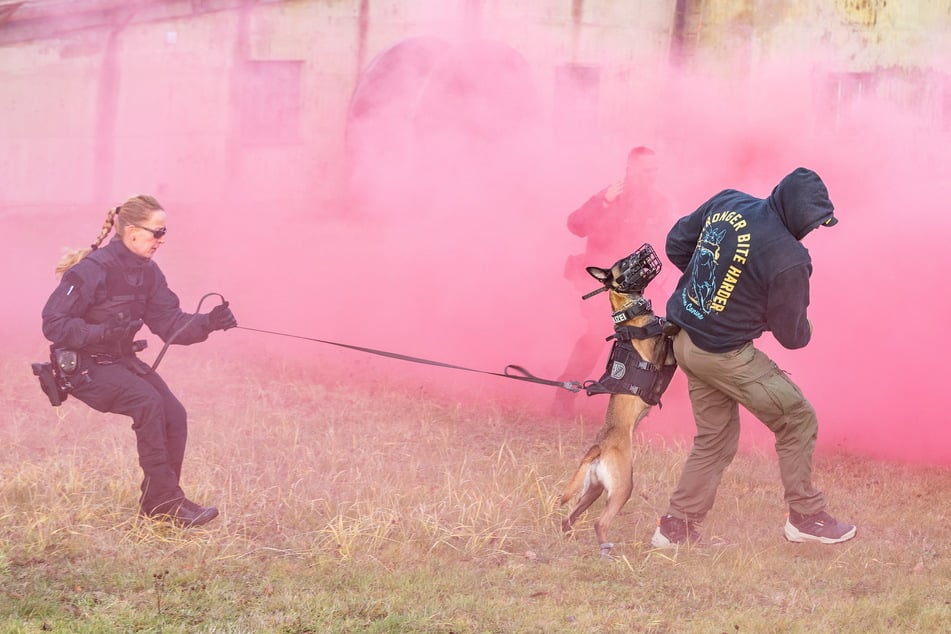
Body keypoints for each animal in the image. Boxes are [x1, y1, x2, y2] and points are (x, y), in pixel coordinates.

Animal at [556, 244, 676, 556]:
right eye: (624, 262)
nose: (645, 253)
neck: (629, 313)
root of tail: (599, 447)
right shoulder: (664, 354)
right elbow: (669, 333)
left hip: (593, 490)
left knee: (569, 517)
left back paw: (571, 537)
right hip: (623, 487)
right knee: (599, 522)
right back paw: (606, 548)